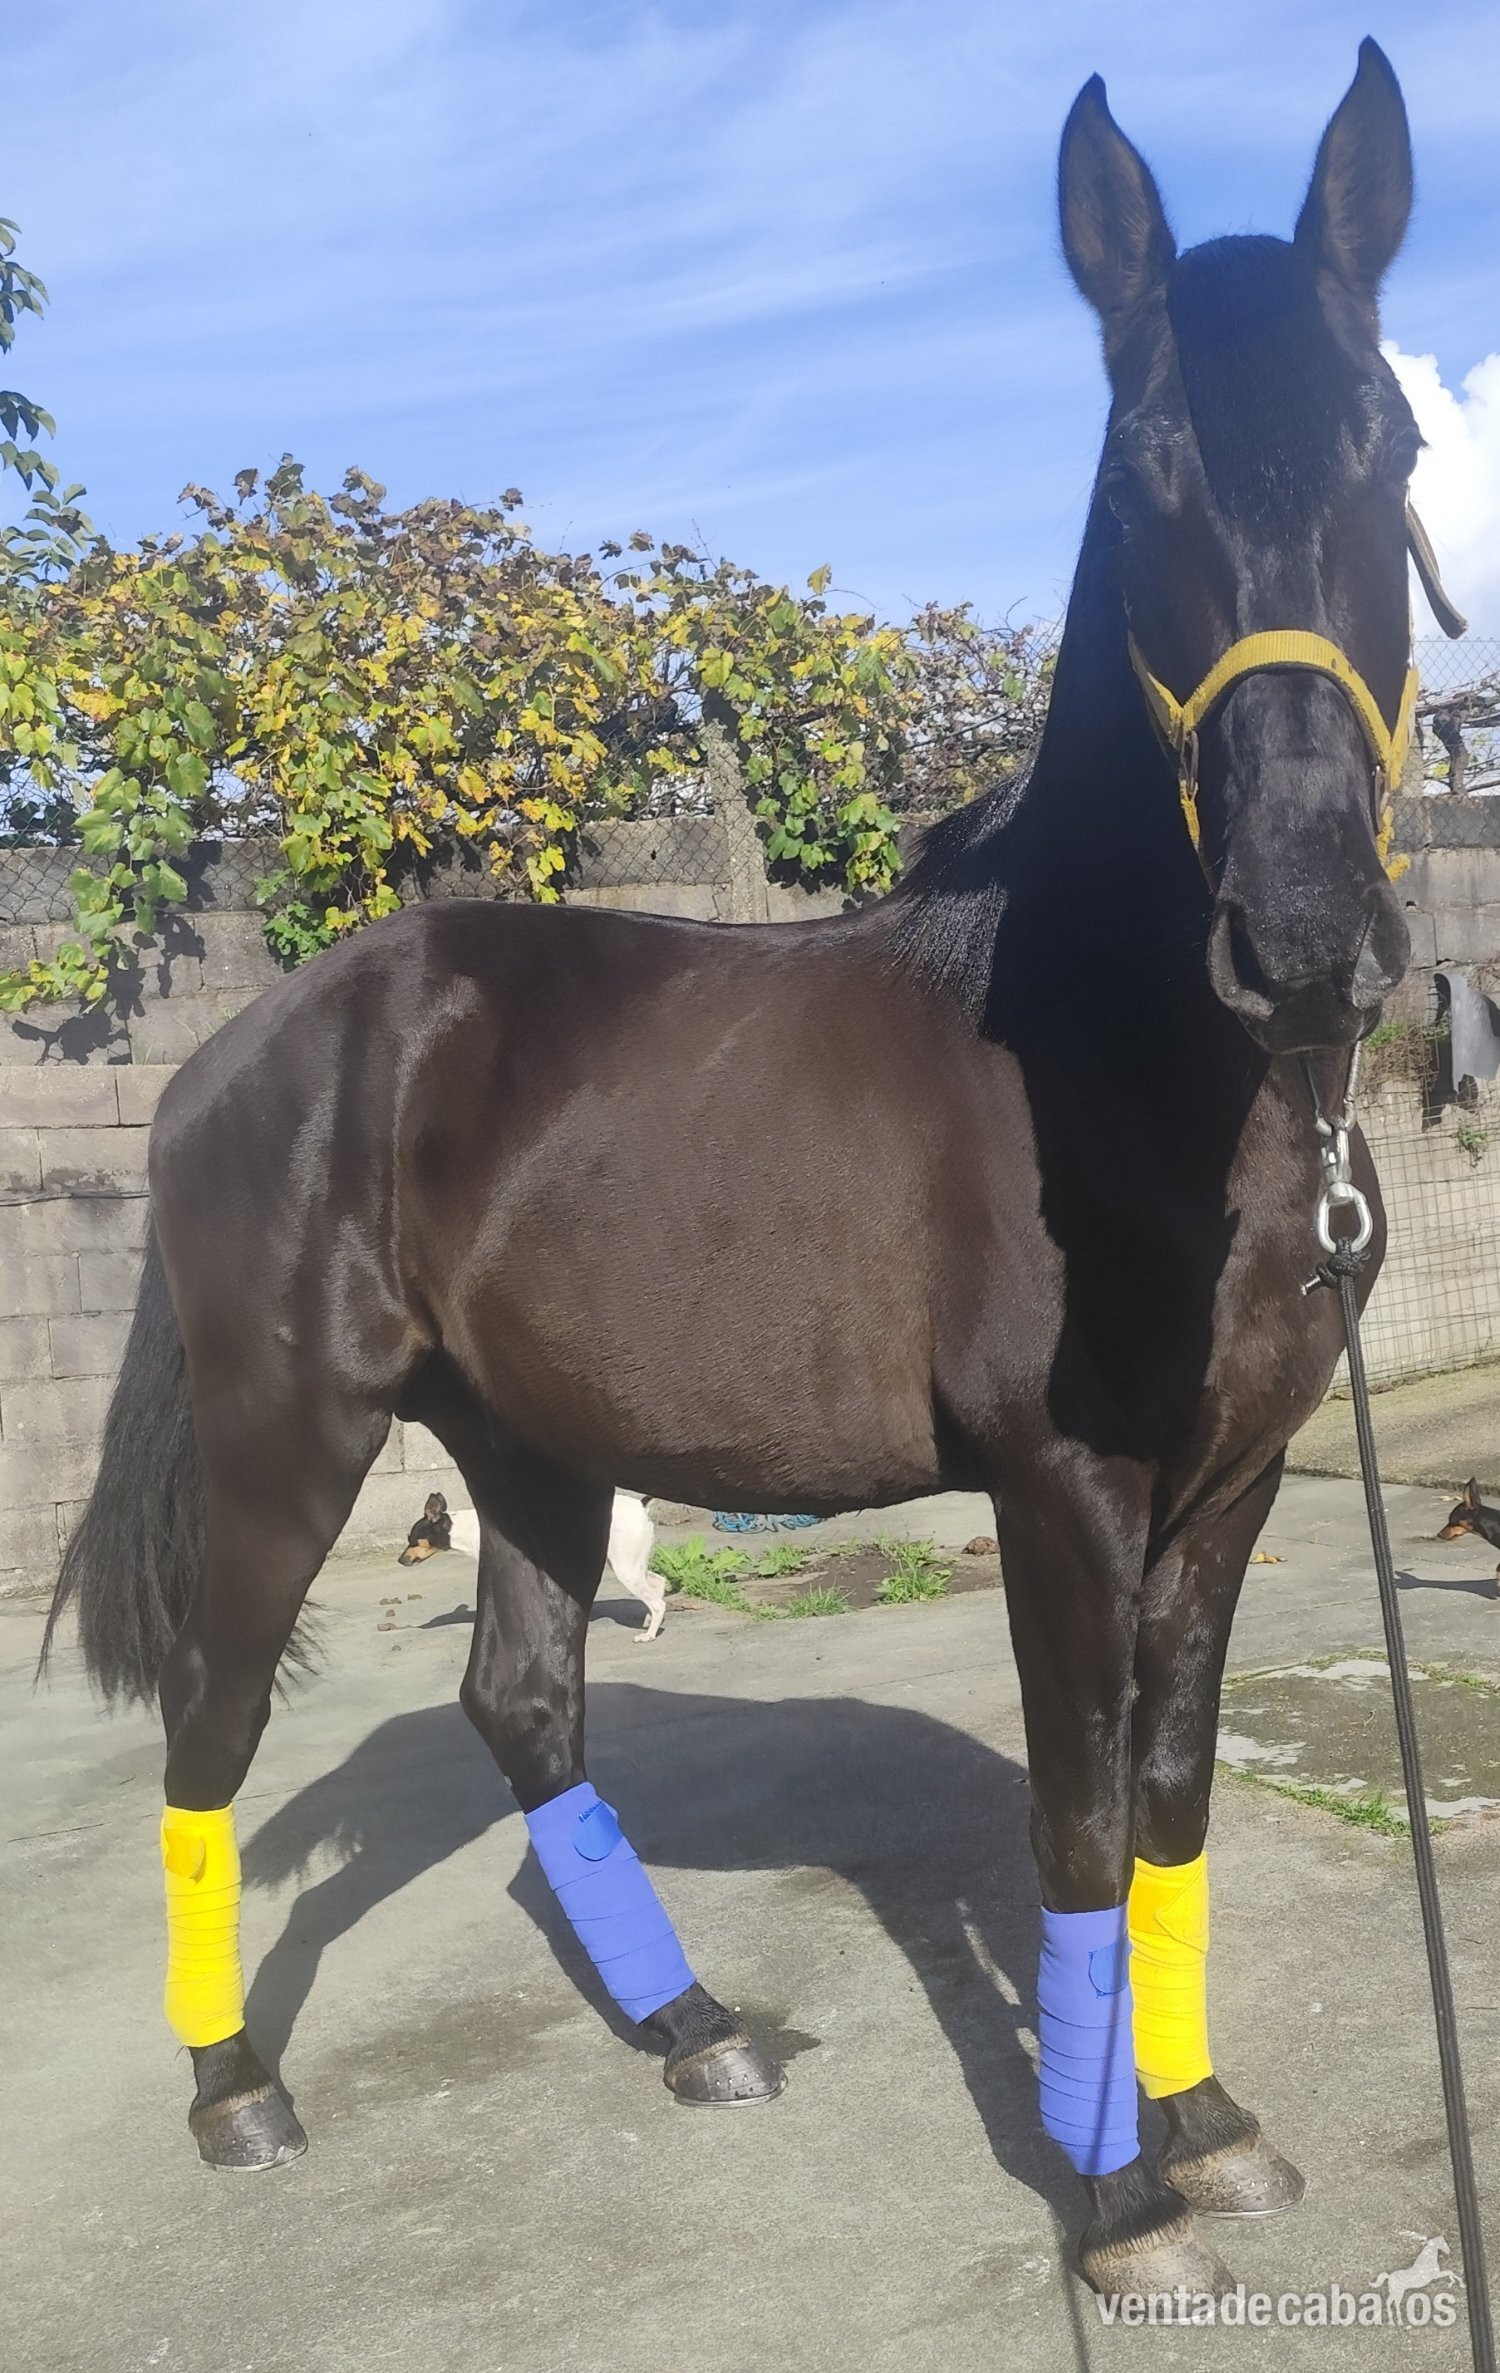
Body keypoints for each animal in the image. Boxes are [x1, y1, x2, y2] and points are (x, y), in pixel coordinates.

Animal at [45, 39, 1438, 2305]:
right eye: (1139, 464)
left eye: (1390, 439)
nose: (1310, 930)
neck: (1133, 1071)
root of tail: (251, 1046)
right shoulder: (1063, 1492)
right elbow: (1072, 1819)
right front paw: (1115, 2199)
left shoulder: (1228, 1486)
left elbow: (1169, 1800)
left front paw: (1210, 2124)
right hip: (286, 1436)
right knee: (211, 1726)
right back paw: (234, 2086)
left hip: (524, 1439)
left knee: (524, 1704)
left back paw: (695, 2028)